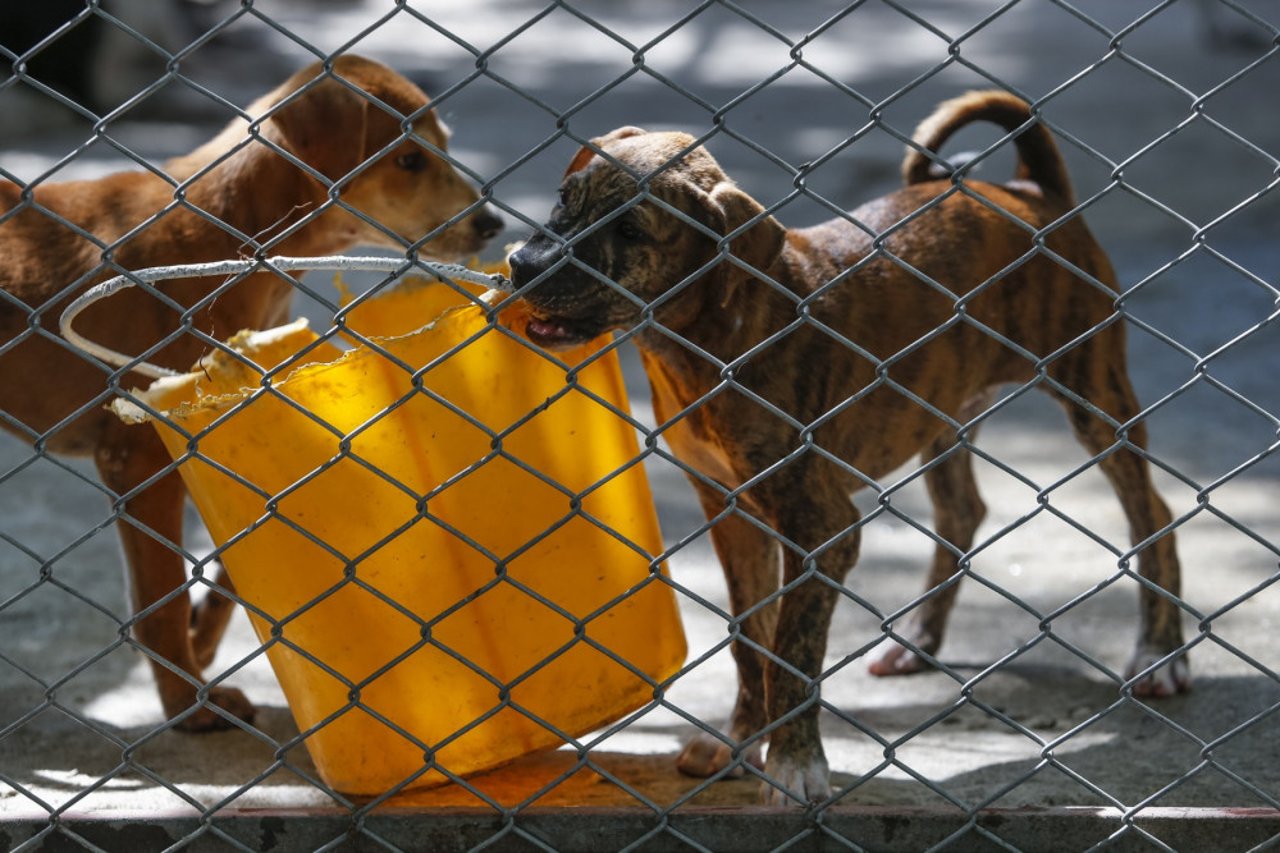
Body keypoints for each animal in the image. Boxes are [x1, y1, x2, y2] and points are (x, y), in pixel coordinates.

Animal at [2, 54, 506, 732]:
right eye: (407, 159)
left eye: (445, 146)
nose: (492, 223)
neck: (235, 238)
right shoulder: (141, 454)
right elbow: (161, 597)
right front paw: (190, 702)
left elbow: (231, 567)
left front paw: (202, 643)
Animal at [506, 92, 1187, 804]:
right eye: (564, 198)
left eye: (632, 232)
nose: (521, 265)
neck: (706, 337)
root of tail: (1030, 188)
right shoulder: (729, 509)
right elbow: (751, 639)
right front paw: (738, 740)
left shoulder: (822, 527)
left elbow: (794, 654)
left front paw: (794, 763)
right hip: (944, 406)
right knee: (962, 510)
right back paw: (915, 639)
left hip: (1092, 389)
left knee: (1152, 513)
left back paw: (1159, 655)